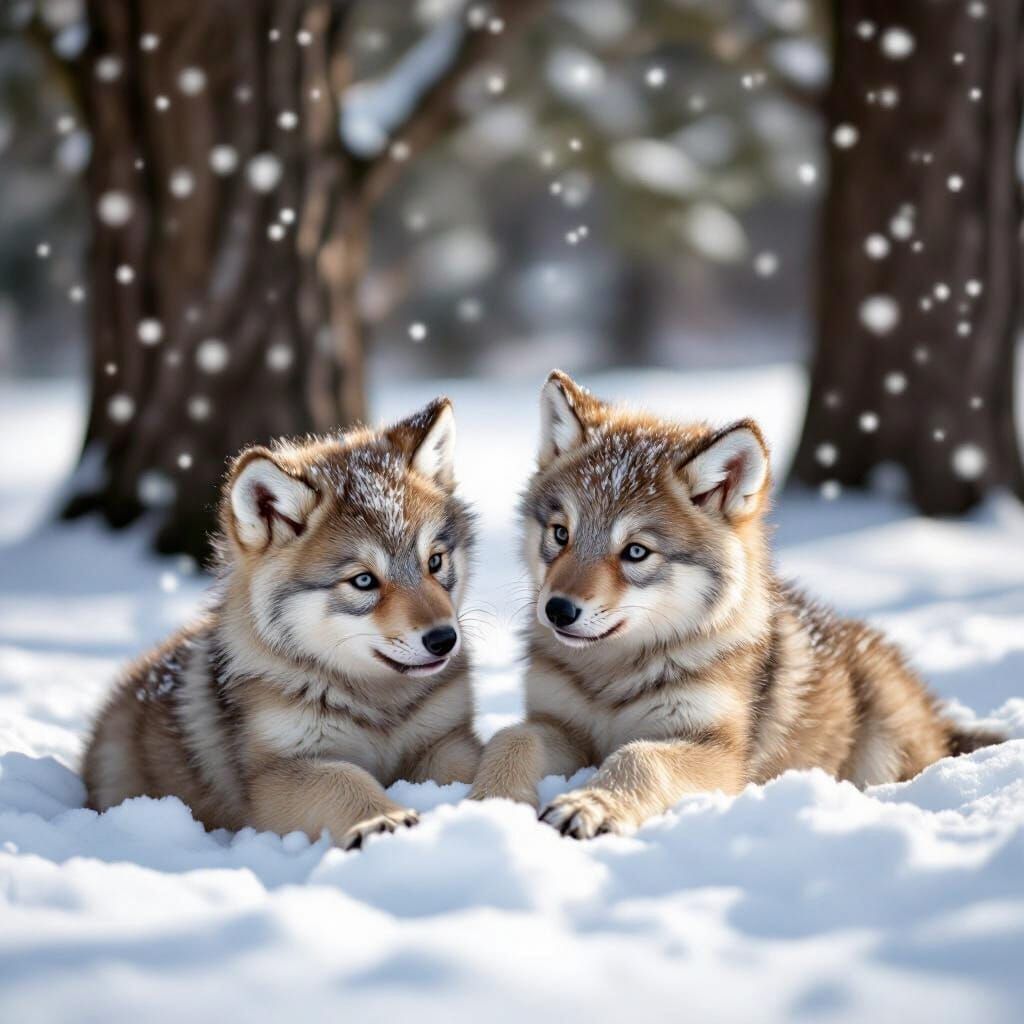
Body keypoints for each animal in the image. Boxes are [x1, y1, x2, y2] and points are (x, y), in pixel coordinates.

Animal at [84, 398, 481, 849]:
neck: (378, 708)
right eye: (363, 580)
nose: (444, 639)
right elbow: (344, 778)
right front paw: (382, 820)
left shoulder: (447, 737)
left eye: (435, 561)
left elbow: (469, 766)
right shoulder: (278, 772)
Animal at [470, 371, 1002, 838]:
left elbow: (638, 757)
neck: (612, 678)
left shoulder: (717, 752)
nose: (557, 610)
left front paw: (588, 804)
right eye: (561, 534)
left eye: (636, 552)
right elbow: (511, 737)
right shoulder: (560, 725)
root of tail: (938, 718)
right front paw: (488, 806)